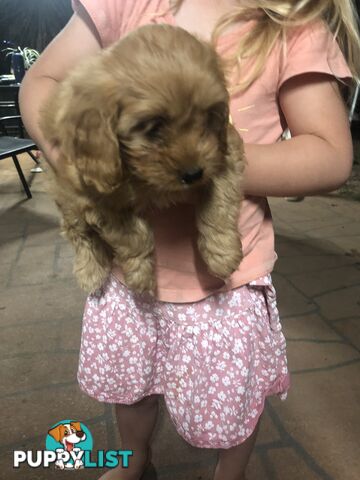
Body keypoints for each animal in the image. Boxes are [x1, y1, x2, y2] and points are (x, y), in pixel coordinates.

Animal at [40, 24, 246, 294]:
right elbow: (133, 236)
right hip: (65, 196)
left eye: (208, 116)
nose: (193, 174)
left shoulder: (224, 153)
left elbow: (219, 203)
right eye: (154, 128)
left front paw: (222, 254)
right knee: (78, 232)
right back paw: (91, 271)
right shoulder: (92, 195)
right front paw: (140, 275)